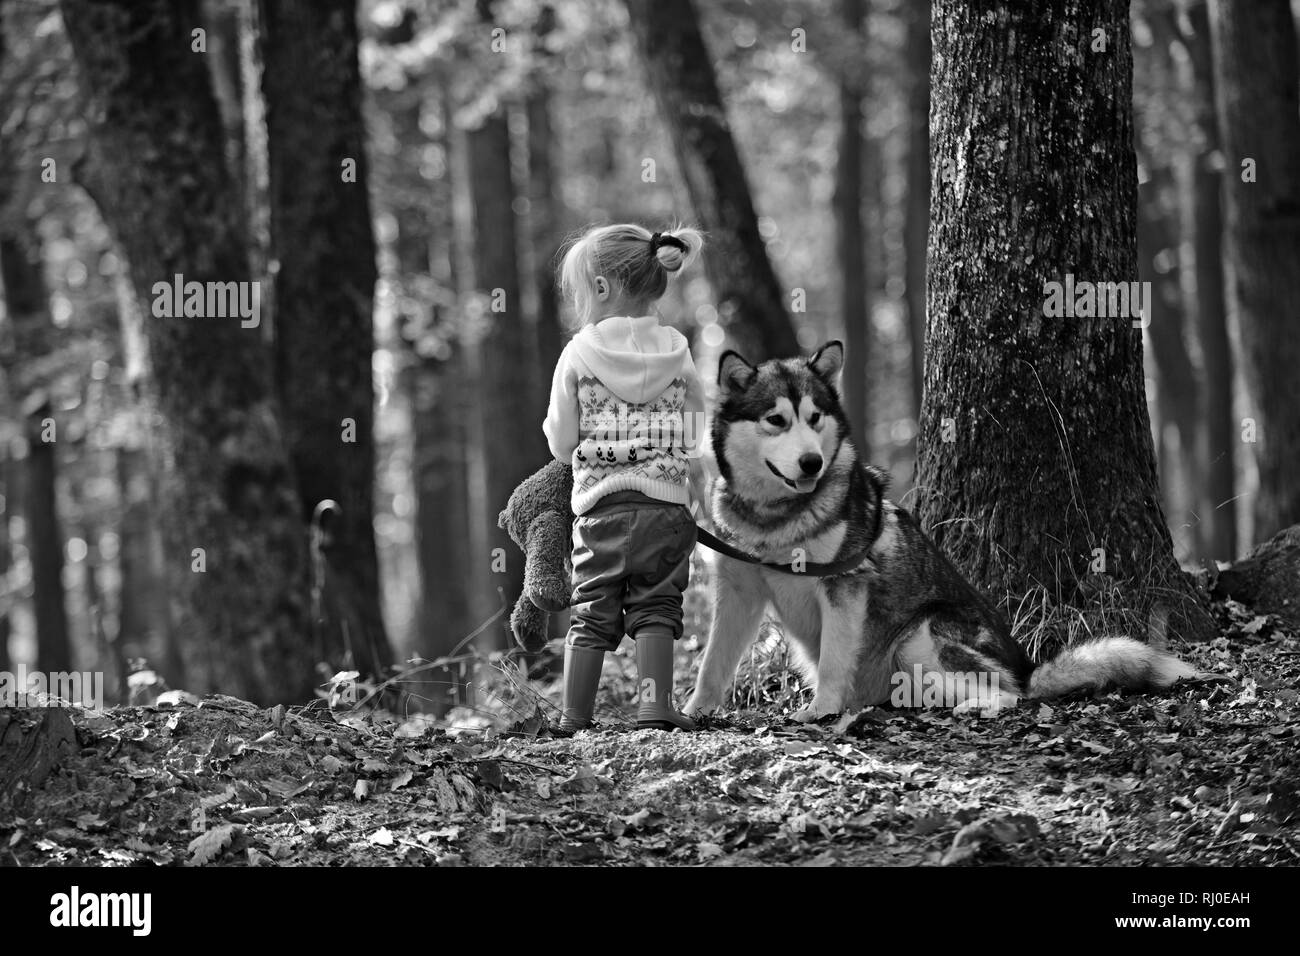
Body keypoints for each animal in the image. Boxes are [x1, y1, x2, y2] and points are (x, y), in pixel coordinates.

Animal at [686, 340, 1190, 723]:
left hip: (917, 640)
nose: (812, 462)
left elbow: (831, 661)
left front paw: (822, 710)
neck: (774, 518)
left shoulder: (844, 584)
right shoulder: (738, 588)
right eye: (776, 420)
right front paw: (693, 712)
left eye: (815, 418)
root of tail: (1025, 664)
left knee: (1013, 692)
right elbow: (711, 663)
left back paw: (980, 706)